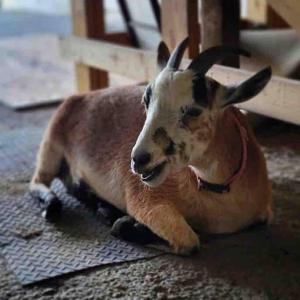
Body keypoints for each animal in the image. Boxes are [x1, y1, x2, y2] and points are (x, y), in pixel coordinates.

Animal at [31, 38, 274, 254]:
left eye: (193, 110)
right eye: (146, 101)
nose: (139, 159)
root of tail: (80, 97)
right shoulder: (146, 199)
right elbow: (188, 241)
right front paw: (126, 223)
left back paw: (101, 206)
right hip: (51, 143)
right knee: (39, 181)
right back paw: (54, 205)